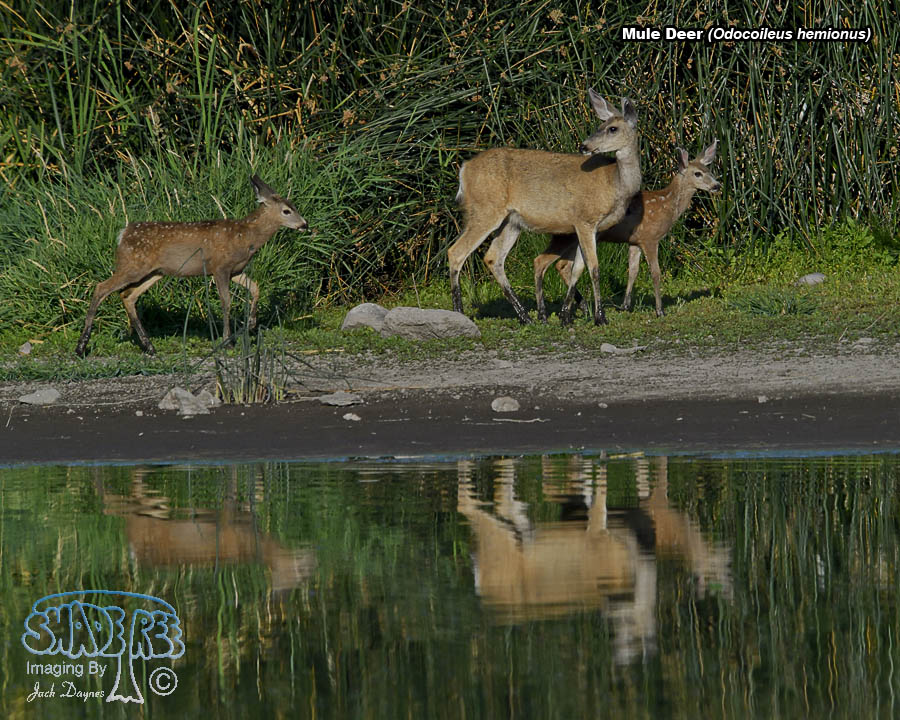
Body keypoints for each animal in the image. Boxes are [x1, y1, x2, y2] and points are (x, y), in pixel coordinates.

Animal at [74, 175, 308, 357]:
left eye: (294, 206)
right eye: (287, 211)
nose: (305, 225)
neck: (246, 237)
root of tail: (122, 234)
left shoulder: (236, 270)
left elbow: (255, 287)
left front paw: (250, 324)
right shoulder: (219, 267)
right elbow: (226, 302)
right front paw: (227, 341)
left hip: (153, 272)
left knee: (127, 295)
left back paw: (149, 347)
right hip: (132, 265)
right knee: (101, 288)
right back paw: (81, 347)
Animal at [447, 88, 641, 326]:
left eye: (612, 128)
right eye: (601, 125)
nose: (584, 146)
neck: (615, 183)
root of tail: (464, 169)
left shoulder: (590, 228)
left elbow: (577, 268)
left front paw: (567, 316)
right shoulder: (584, 220)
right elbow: (593, 267)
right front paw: (600, 317)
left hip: (511, 221)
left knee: (493, 257)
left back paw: (526, 317)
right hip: (485, 210)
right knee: (456, 252)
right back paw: (459, 312)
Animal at [533, 140, 720, 322]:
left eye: (709, 170)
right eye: (697, 173)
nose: (717, 186)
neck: (667, 205)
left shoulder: (635, 241)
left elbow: (633, 271)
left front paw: (625, 306)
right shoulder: (650, 238)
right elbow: (655, 273)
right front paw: (660, 311)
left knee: (562, 265)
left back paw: (580, 307)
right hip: (568, 236)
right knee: (545, 261)